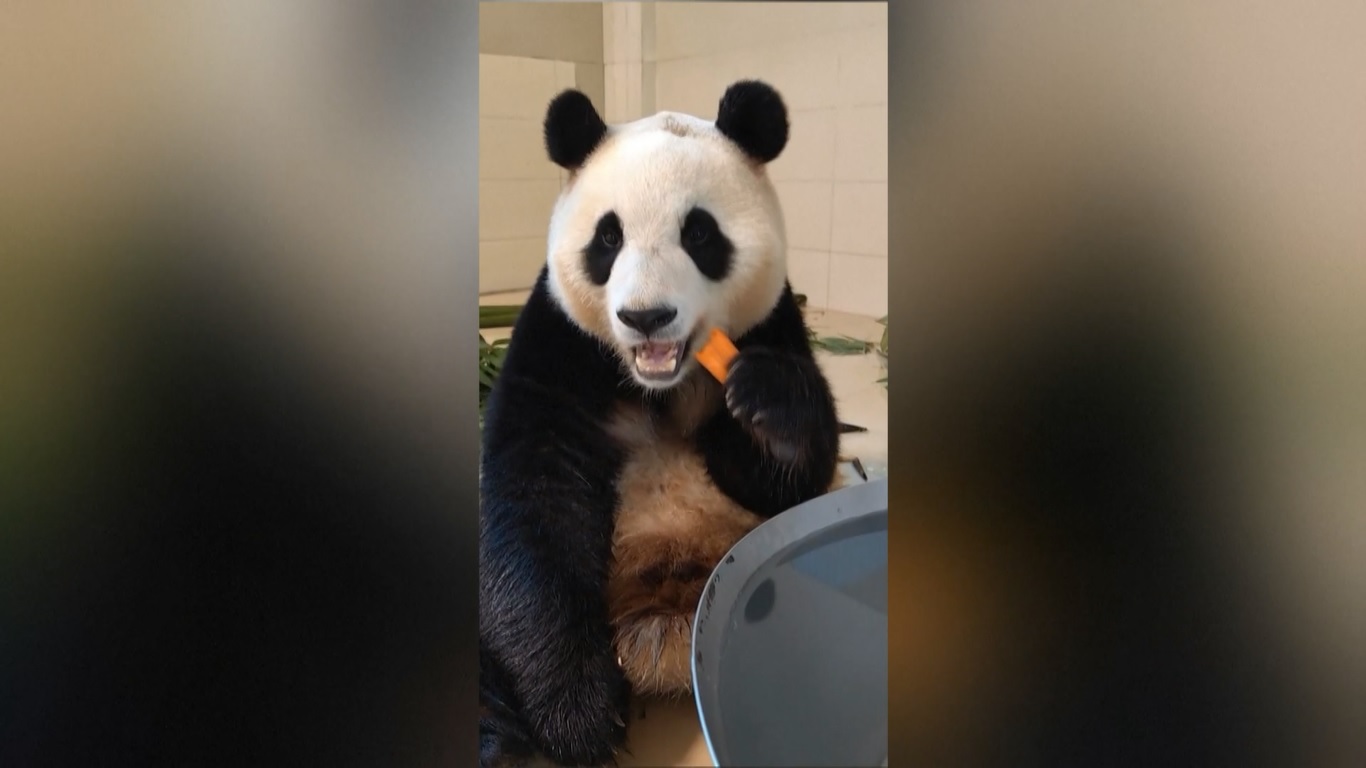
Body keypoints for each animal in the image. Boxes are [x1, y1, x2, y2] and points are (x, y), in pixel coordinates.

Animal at [479, 80, 842, 768]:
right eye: (607, 239)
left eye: (699, 234)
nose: (646, 317)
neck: (658, 383)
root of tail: (657, 626)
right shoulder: (561, 344)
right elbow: (534, 503)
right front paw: (579, 715)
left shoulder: (772, 322)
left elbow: (778, 479)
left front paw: (765, 404)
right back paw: (498, 738)